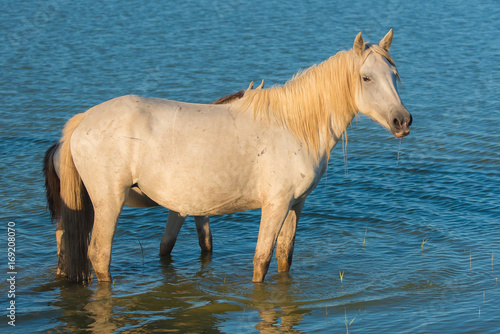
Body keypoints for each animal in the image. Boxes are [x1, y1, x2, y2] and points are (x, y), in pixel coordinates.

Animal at [44, 30, 410, 284]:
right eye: (366, 77)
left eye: (394, 76)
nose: (402, 121)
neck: (292, 126)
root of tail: (80, 123)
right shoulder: (275, 204)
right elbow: (262, 260)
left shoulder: (296, 204)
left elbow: (284, 258)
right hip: (109, 202)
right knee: (98, 254)